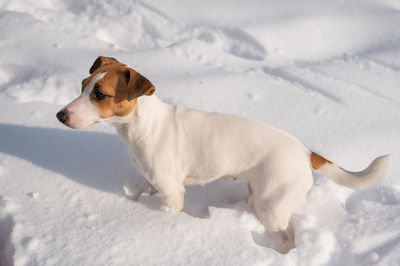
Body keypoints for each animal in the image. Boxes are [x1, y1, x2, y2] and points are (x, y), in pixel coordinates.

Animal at [57, 56, 390, 254]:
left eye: (100, 94)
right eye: (83, 85)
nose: (60, 115)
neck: (143, 124)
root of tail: (306, 152)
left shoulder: (171, 192)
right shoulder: (152, 180)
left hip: (272, 205)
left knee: (286, 237)